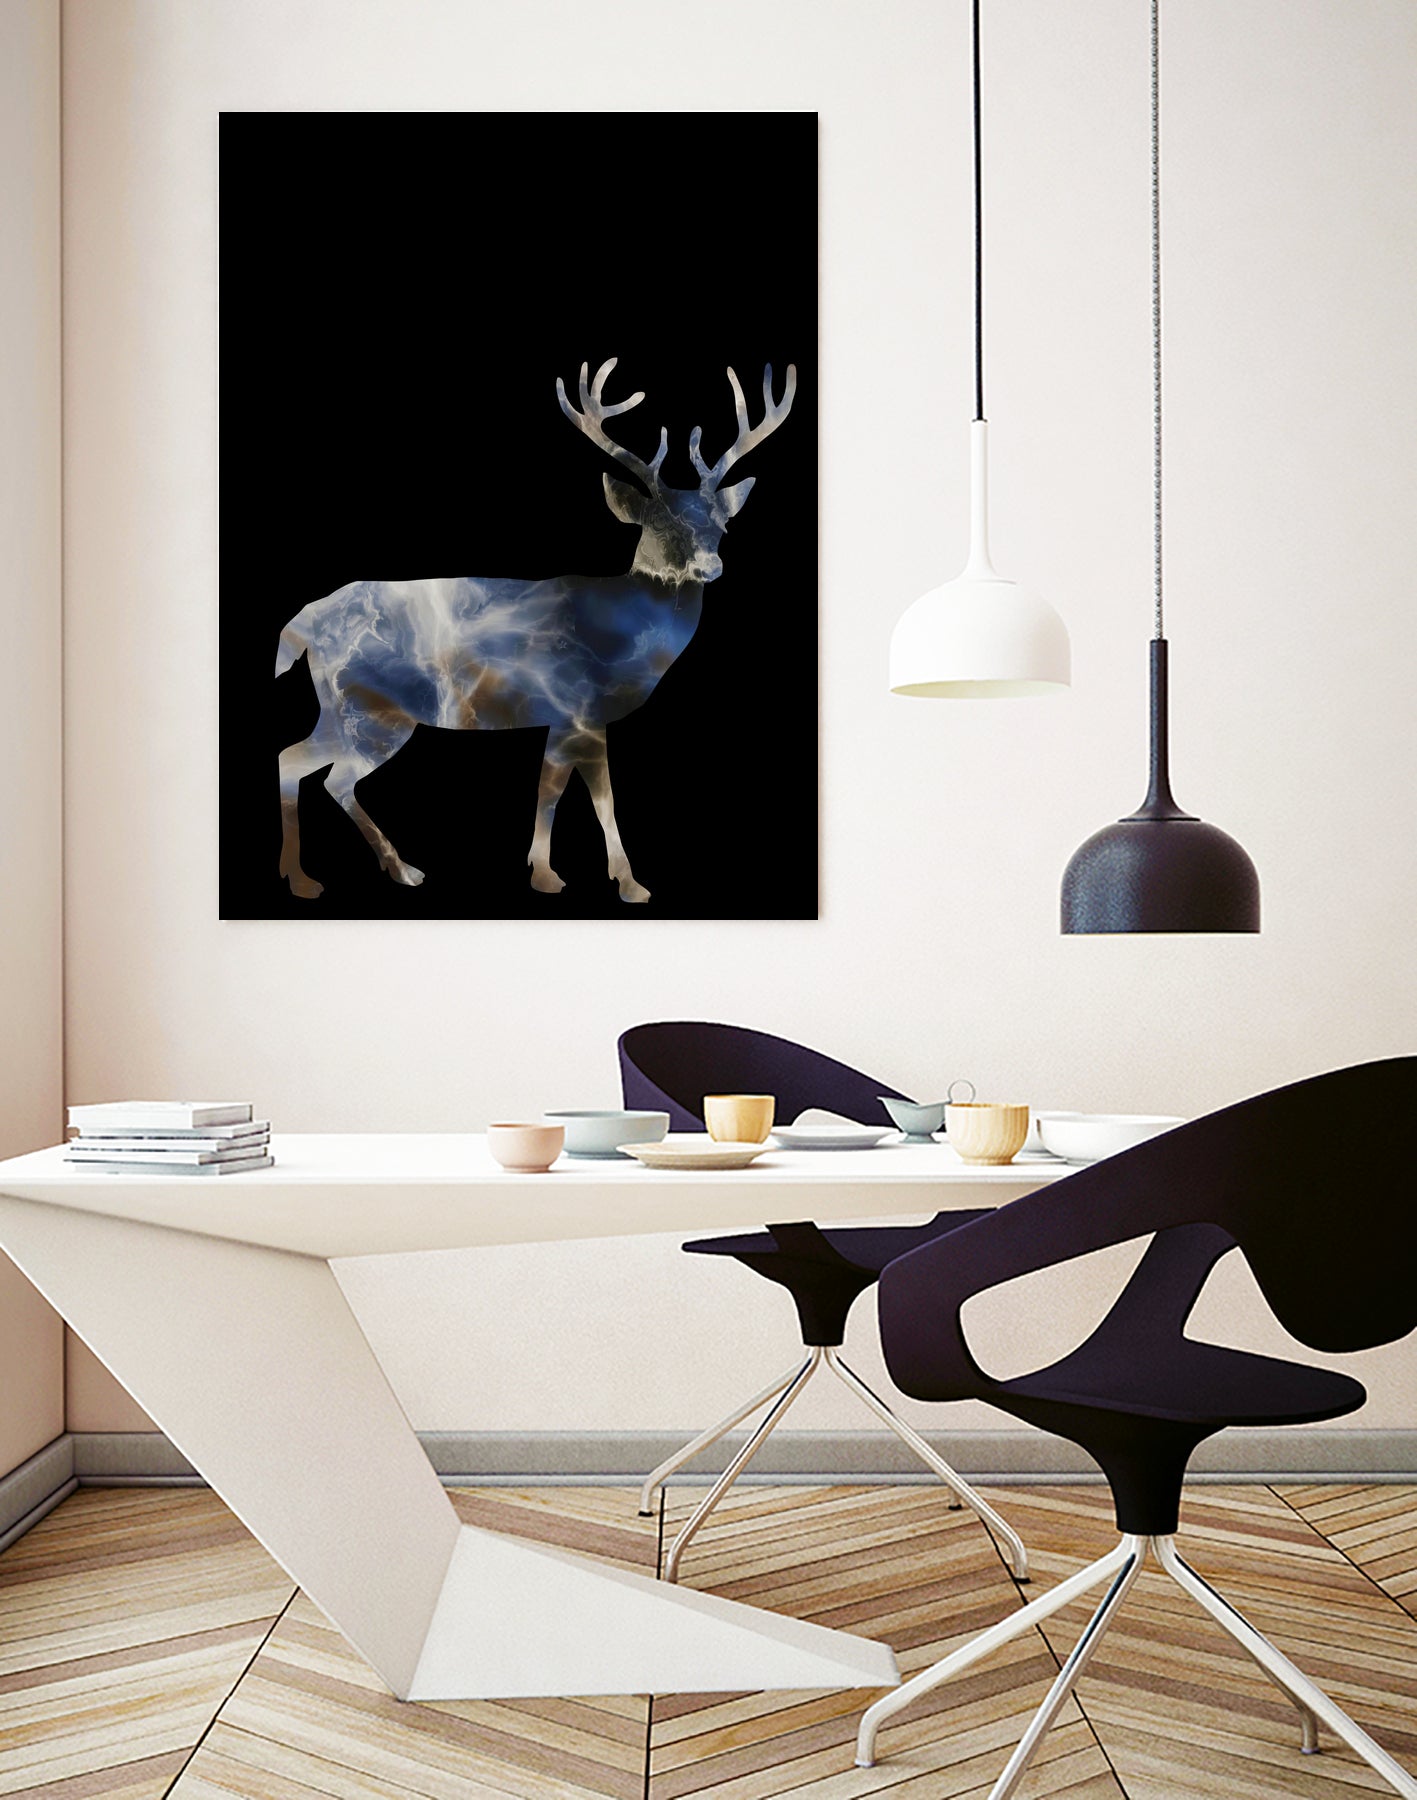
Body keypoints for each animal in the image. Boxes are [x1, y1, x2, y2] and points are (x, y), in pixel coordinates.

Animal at [274, 357, 796, 904]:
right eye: (658, 524)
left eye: (722, 526)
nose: (710, 566)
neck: (622, 634)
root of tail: (305, 623)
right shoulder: (579, 708)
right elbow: (588, 797)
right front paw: (614, 881)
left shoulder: (566, 718)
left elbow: (556, 790)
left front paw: (556, 873)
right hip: (372, 709)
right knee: (329, 775)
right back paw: (367, 872)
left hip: (342, 708)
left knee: (296, 760)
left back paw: (339, 873)